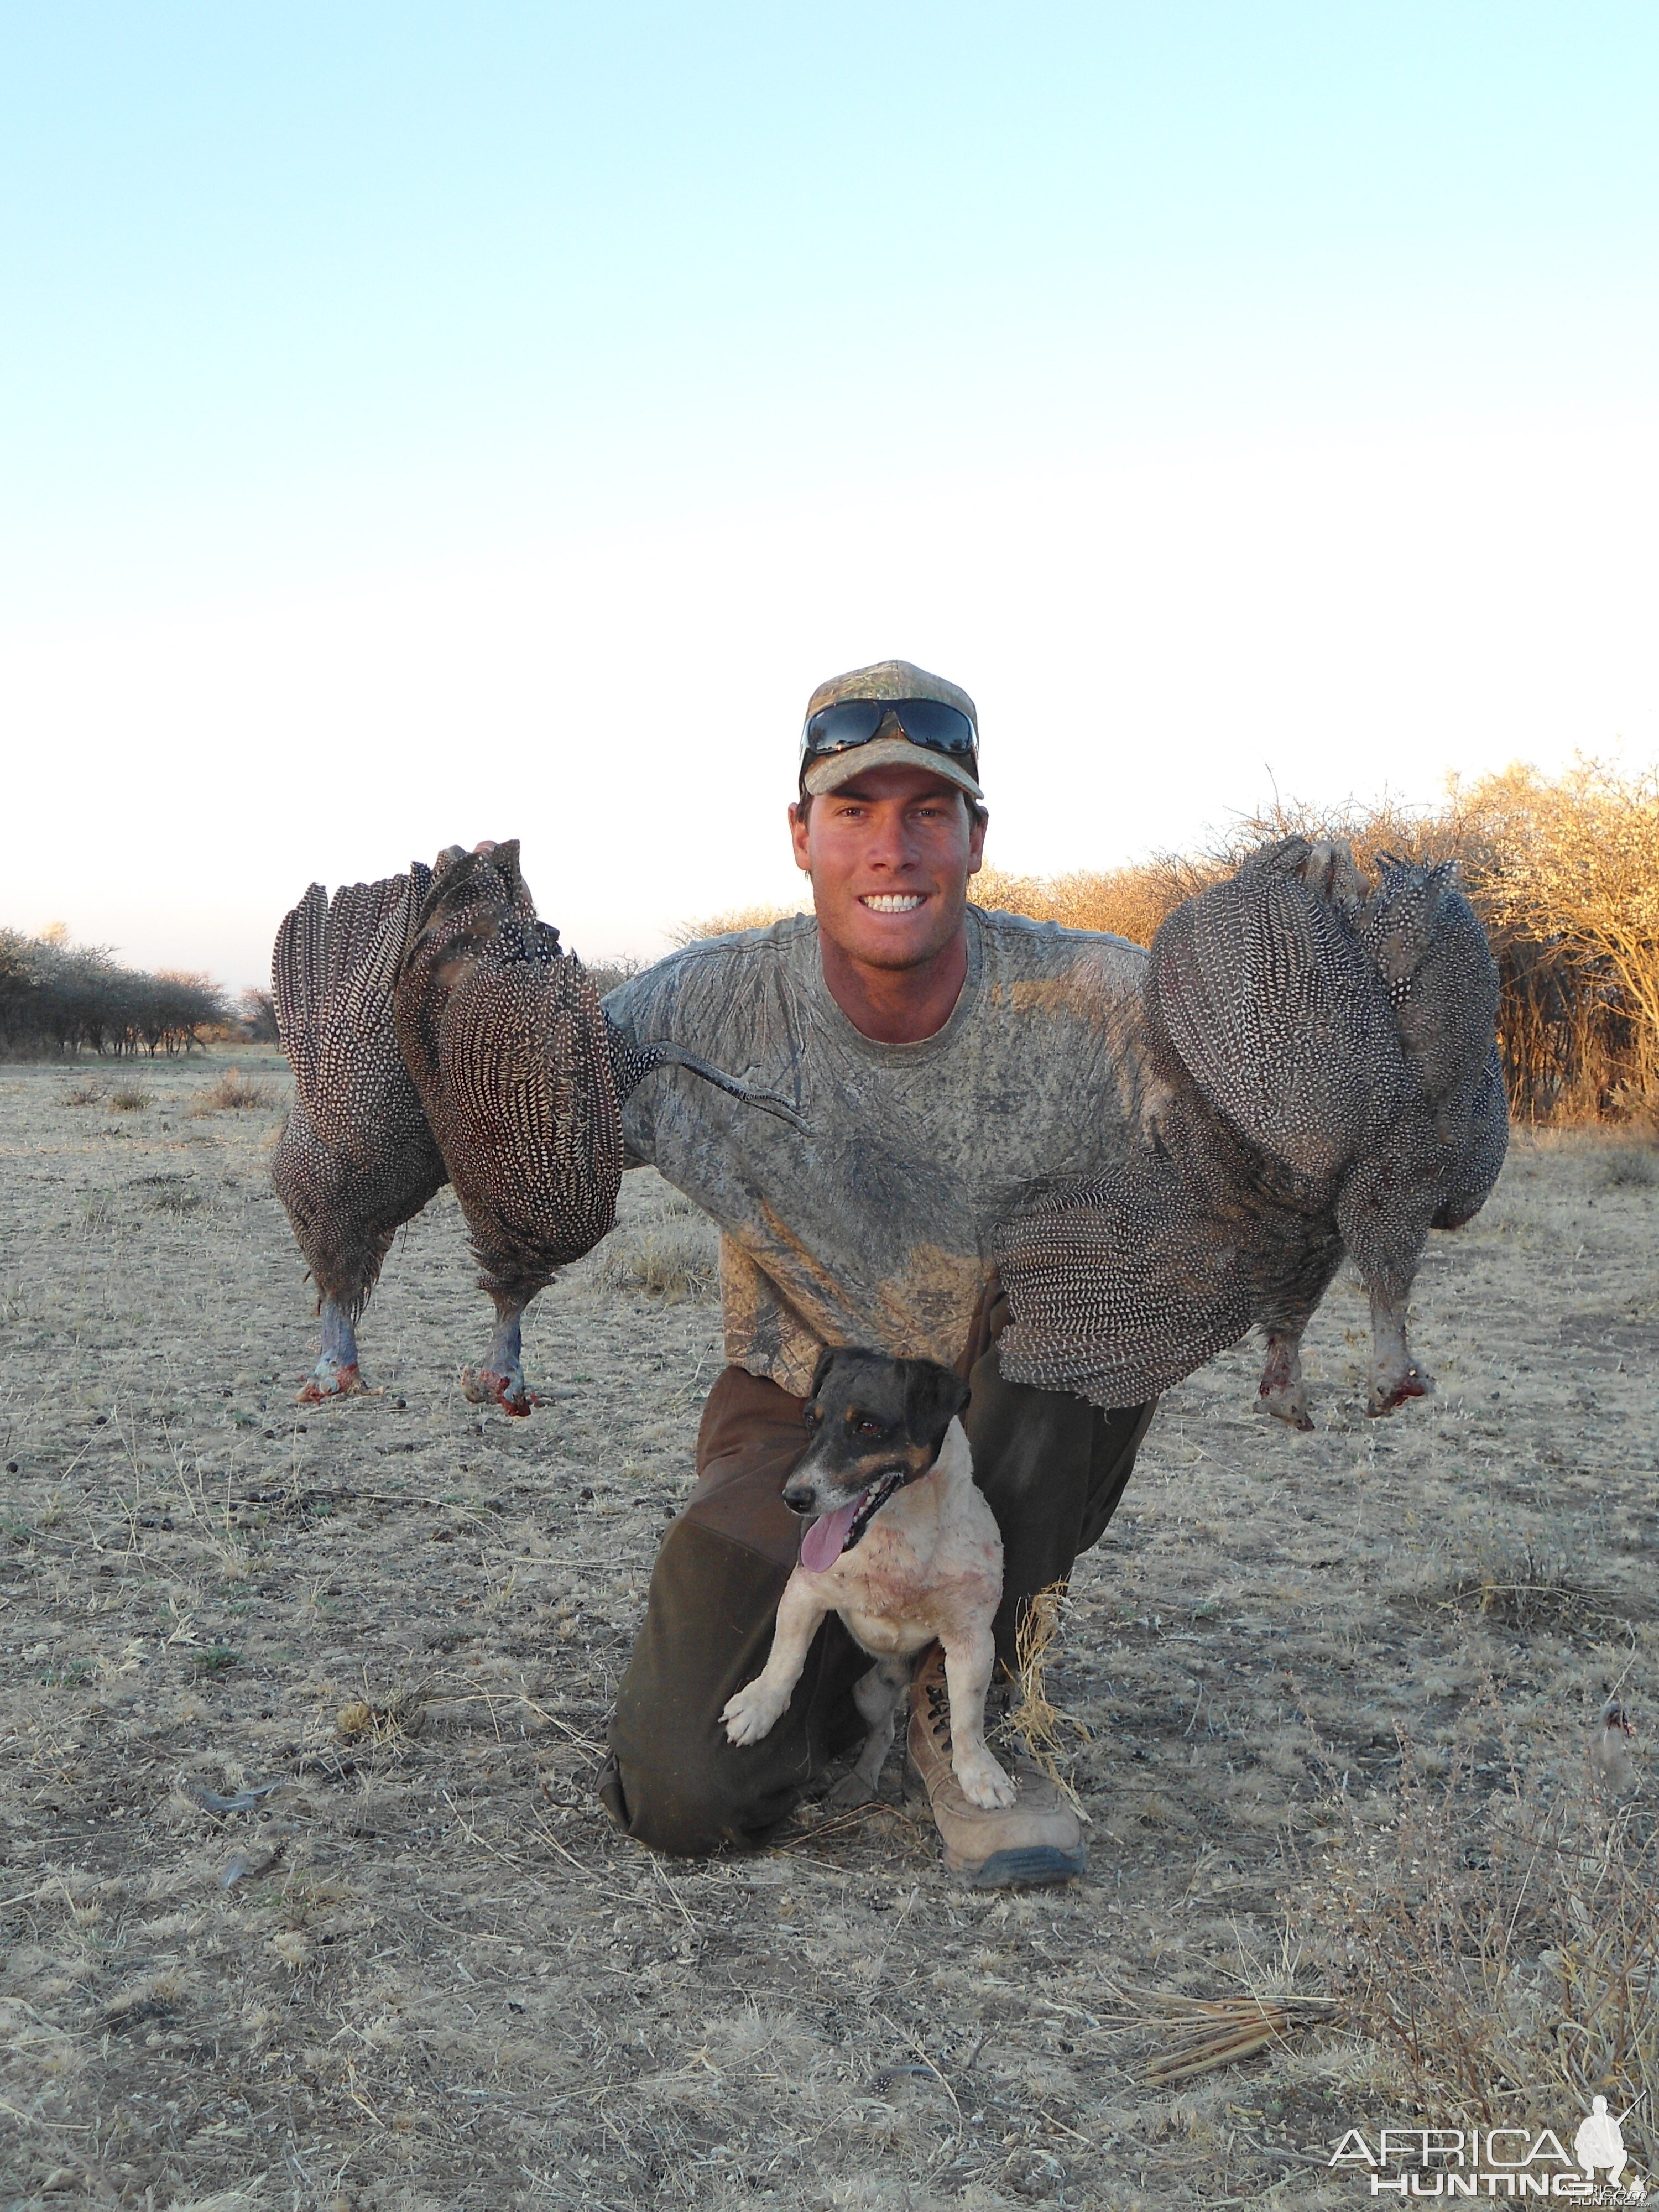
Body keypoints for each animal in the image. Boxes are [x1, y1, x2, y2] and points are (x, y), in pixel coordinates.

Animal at [721, 1345, 1022, 1814]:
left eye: (868, 1427)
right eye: (811, 1419)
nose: (794, 1498)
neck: (901, 1539)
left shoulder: (972, 1640)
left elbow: (967, 1719)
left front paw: (980, 1774)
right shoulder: (805, 1592)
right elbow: (786, 1658)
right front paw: (759, 1707)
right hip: (869, 1691)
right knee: (881, 1733)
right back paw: (860, 1782)